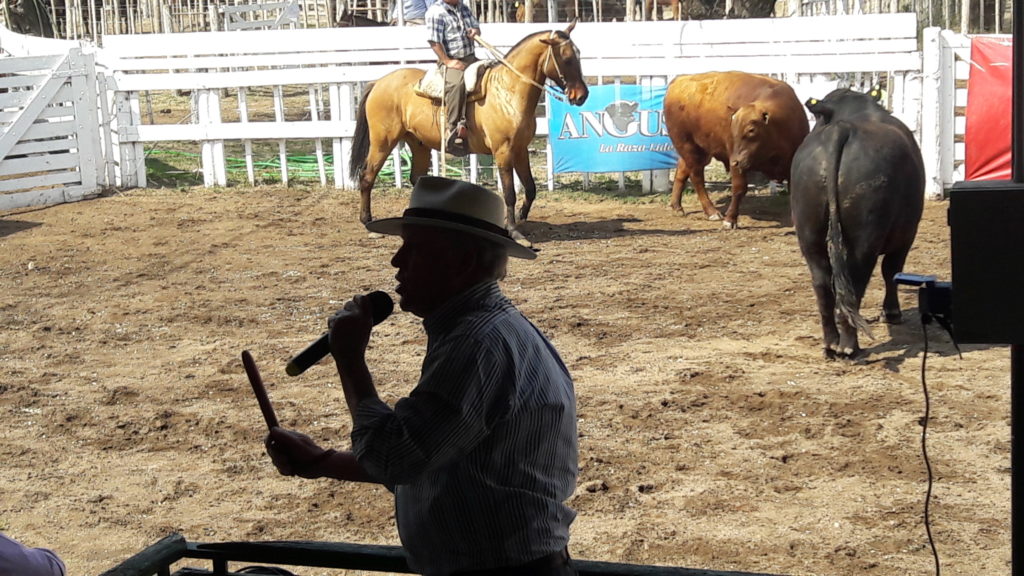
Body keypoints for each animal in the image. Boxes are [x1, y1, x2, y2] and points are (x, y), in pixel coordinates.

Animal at [348, 21, 589, 246]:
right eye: (567, 58)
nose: (582, 95)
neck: (508, 91)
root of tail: (378, 82)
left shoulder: (521, 149)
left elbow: (530, 188)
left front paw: (520, 219)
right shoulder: (503, 151)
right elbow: (509, 193)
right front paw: (514, 232)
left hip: (418, 143)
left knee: (416, 179)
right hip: (383, 141)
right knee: (367, 176)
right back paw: (367, 222)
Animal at [789, 87, 925, 359]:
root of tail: (843, 128)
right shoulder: (906, 236)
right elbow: (892, 271)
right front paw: (891, 313)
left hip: (808, 234)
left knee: (822, 284)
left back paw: (831, 344)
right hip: (865, 238)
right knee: (857, 281)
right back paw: (850, 346)